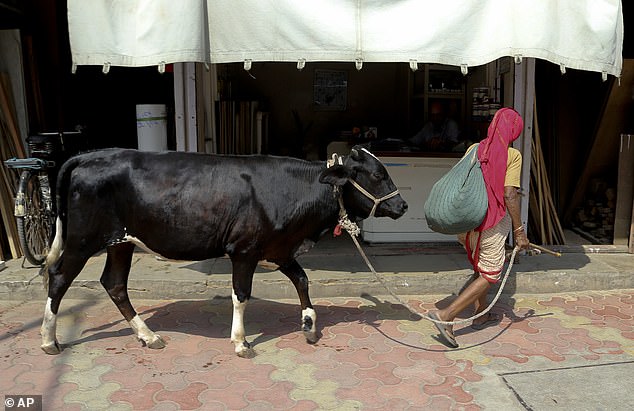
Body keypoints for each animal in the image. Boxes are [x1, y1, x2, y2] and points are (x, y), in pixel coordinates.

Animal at [40, 147, 404, 358]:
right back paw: (48, 340)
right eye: (377, 174)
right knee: (58, 277)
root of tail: (91, 155)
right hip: (82, 239)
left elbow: (302, 280)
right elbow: (241, 295)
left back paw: (149, 336)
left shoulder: (279, 248)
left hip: (122, 242)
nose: (403, 205)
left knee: (114, 284)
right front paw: (241, 342)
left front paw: (310, 325)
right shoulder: (244, 250)